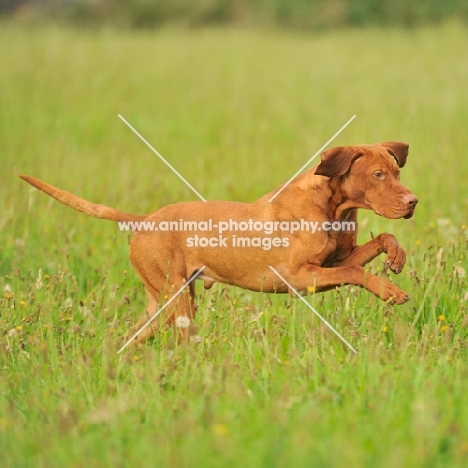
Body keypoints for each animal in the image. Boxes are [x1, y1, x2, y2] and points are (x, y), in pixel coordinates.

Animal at [20, 142, 418, 344]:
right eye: (377, 175)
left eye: (397, 172)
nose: (413, 201)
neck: (334, 205)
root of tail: (145, 221)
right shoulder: (299, 277)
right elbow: (357, 273)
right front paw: (390, 291)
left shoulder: (333, 262)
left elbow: (380, 240)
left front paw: (397, 257)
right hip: (177, 299)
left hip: (162, 304)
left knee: (131, 338)